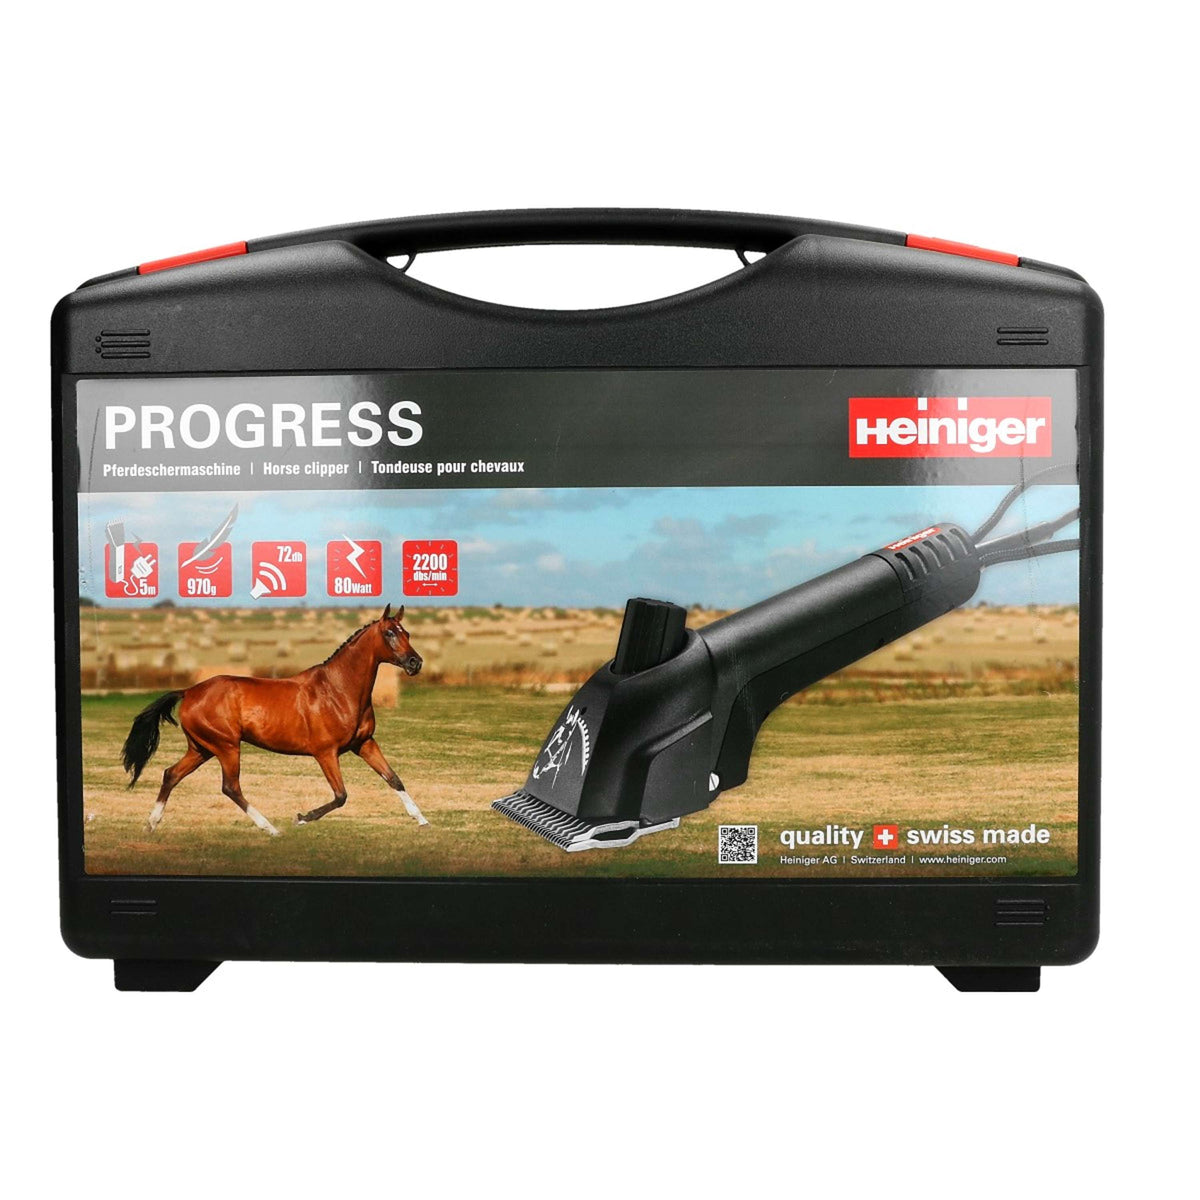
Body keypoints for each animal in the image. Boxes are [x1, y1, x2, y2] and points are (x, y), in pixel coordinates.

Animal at [121, 604, 427, 836]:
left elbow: (394, 778)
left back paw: (151, 824)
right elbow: (341, 795)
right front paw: (301, 817)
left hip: (202, 749)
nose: (415, 663)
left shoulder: (364, 743)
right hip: (226, 747)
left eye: (408, 633)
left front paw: (422, 819)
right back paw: (270, 828)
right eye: (389, 633)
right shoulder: (326, 753)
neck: (339, 690)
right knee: (230, 787)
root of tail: (190, 691)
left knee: (171, 774)